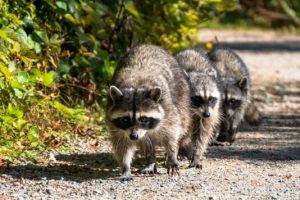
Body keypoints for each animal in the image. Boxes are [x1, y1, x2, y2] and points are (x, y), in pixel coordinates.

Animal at [105, 44, 190, 181]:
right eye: (125, 119)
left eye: (144, 119)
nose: (133, 136)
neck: (135, 86)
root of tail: (147, 45)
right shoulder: (114, 122)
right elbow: (122, 145)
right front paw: (125, 167)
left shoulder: (168, 110)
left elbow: (171, 134)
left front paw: (172, 156)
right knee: (145, 142)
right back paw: (150, 160)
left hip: (181, 94)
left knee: (181, 124)